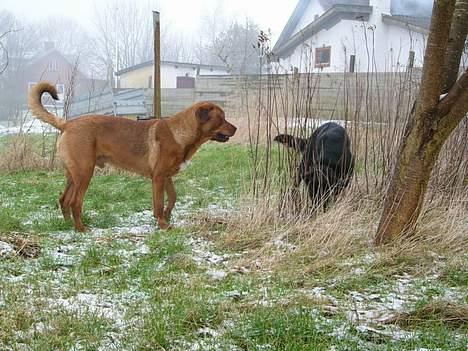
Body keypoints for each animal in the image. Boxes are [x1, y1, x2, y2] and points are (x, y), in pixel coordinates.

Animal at [28, 81, 238, 232]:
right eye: (221, 118)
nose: (236, 128)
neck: (181, 133)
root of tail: (67, 124)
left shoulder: (167, 176)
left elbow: (172, 198)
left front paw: (168, 217)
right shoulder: (158, 178)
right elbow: (159, 203)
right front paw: (162, 224)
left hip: (73, 175)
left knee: (63, 199)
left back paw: (67, 225)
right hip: (85, 173)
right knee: (74, 202)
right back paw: (81, 229)